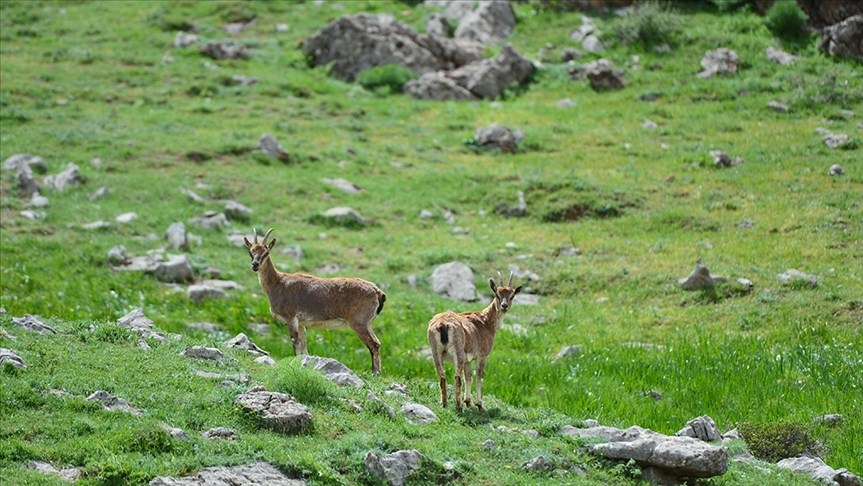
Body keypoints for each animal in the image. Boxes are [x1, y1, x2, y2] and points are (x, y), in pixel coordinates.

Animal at [246, 230, 388, 374]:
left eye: (266, 252)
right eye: (251, 252)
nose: (255, 265)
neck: (277, 283)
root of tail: (379, 293)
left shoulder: (291, 317)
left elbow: (295, 341)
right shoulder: (300, 322)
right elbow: (303, 343)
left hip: (359, 323)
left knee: (374, 344)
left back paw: (375, 372)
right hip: (368, 323)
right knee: (377, 343)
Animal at [428, 272, 524, 412]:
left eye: (512, 295)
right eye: (497, 294)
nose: (504, 306)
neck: (486, 323)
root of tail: (442, 325)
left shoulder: (468, 359)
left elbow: (469, 377)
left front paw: (469, 402)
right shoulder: (482, 355)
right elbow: (479, 377)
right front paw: (480, 405)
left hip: (436, 351)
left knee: (442, 377)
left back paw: (444, 403)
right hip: (458, 351)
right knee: (457, 378)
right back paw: (458, 406)